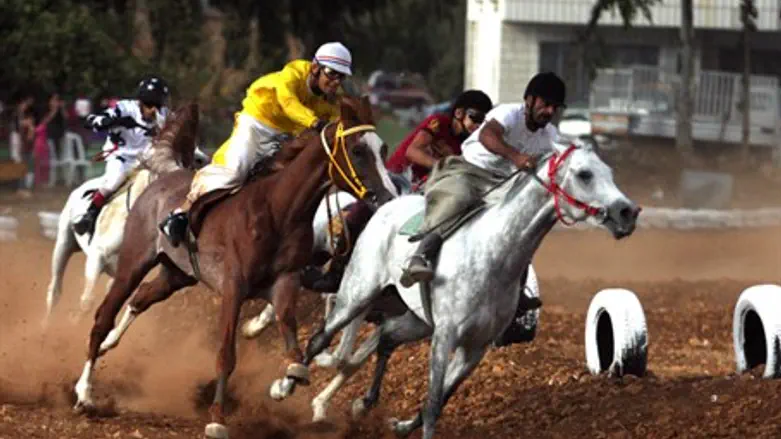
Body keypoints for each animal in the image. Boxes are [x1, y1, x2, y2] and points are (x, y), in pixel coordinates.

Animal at [71, 96, 399, 439]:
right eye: (358, 151)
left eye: (383, 149)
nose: (388, 196)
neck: (277, 211)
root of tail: (164, 177)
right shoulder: (233, 288)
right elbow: (226, 355)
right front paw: (217, 419)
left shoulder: (285, 282)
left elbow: (291, 339)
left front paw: (286, 381)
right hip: (133, 262)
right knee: (103, 315)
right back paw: (84, 392)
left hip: (178, 274)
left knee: (142, 297)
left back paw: (109, 345)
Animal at [294, 141, 641, 439]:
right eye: (584, 174)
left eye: (609, 172)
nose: (628, 212)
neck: (493, 255)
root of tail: (388, 206)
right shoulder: (445, 336)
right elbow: (433, 401)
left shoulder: (475, 347)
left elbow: (438, 401)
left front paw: (401, 425)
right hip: (358, 292)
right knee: (321, 337)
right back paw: (292, 385)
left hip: (416, 320)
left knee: (385, 337)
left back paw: (359, 403)